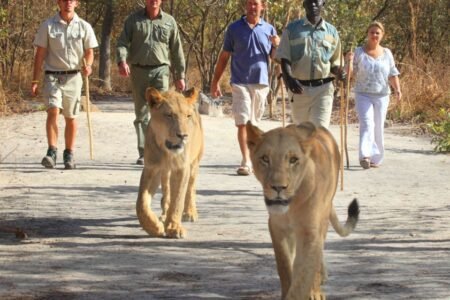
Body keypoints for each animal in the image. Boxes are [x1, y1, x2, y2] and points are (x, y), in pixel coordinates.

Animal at [134, 86, 203, 239]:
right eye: (169, 115)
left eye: (188, 116)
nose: (183, 136)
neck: (167, 152)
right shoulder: (151, 168)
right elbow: (141, 202)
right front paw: (154, 227)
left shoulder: (181, 168)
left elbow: (178, 199)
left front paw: (174, 227)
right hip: (165, 173)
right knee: (167, 192)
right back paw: (164, 215)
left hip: (195, 163)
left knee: (191, 188)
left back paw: (190, 212)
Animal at [244, 122, 360, 300]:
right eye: (265, 159)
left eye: (293, 160)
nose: (278, 187)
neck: (291, 206)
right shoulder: (277, 227)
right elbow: (284, 266)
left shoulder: (309, 231)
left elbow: (304, 274)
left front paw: (311, 291)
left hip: (323, 216)